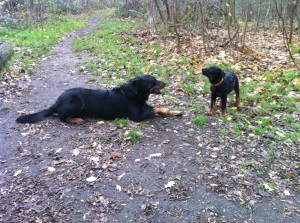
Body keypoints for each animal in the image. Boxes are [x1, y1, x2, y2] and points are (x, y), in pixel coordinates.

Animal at [17, 74, 183, 123]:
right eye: (152, 81)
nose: (166, 82)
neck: (134, 94)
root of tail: (56, 102)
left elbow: (161, 108)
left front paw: (174, 111)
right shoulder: (137, 117)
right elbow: (155, 109)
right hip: (77, 101)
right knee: (62, 118)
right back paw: (76, 120)